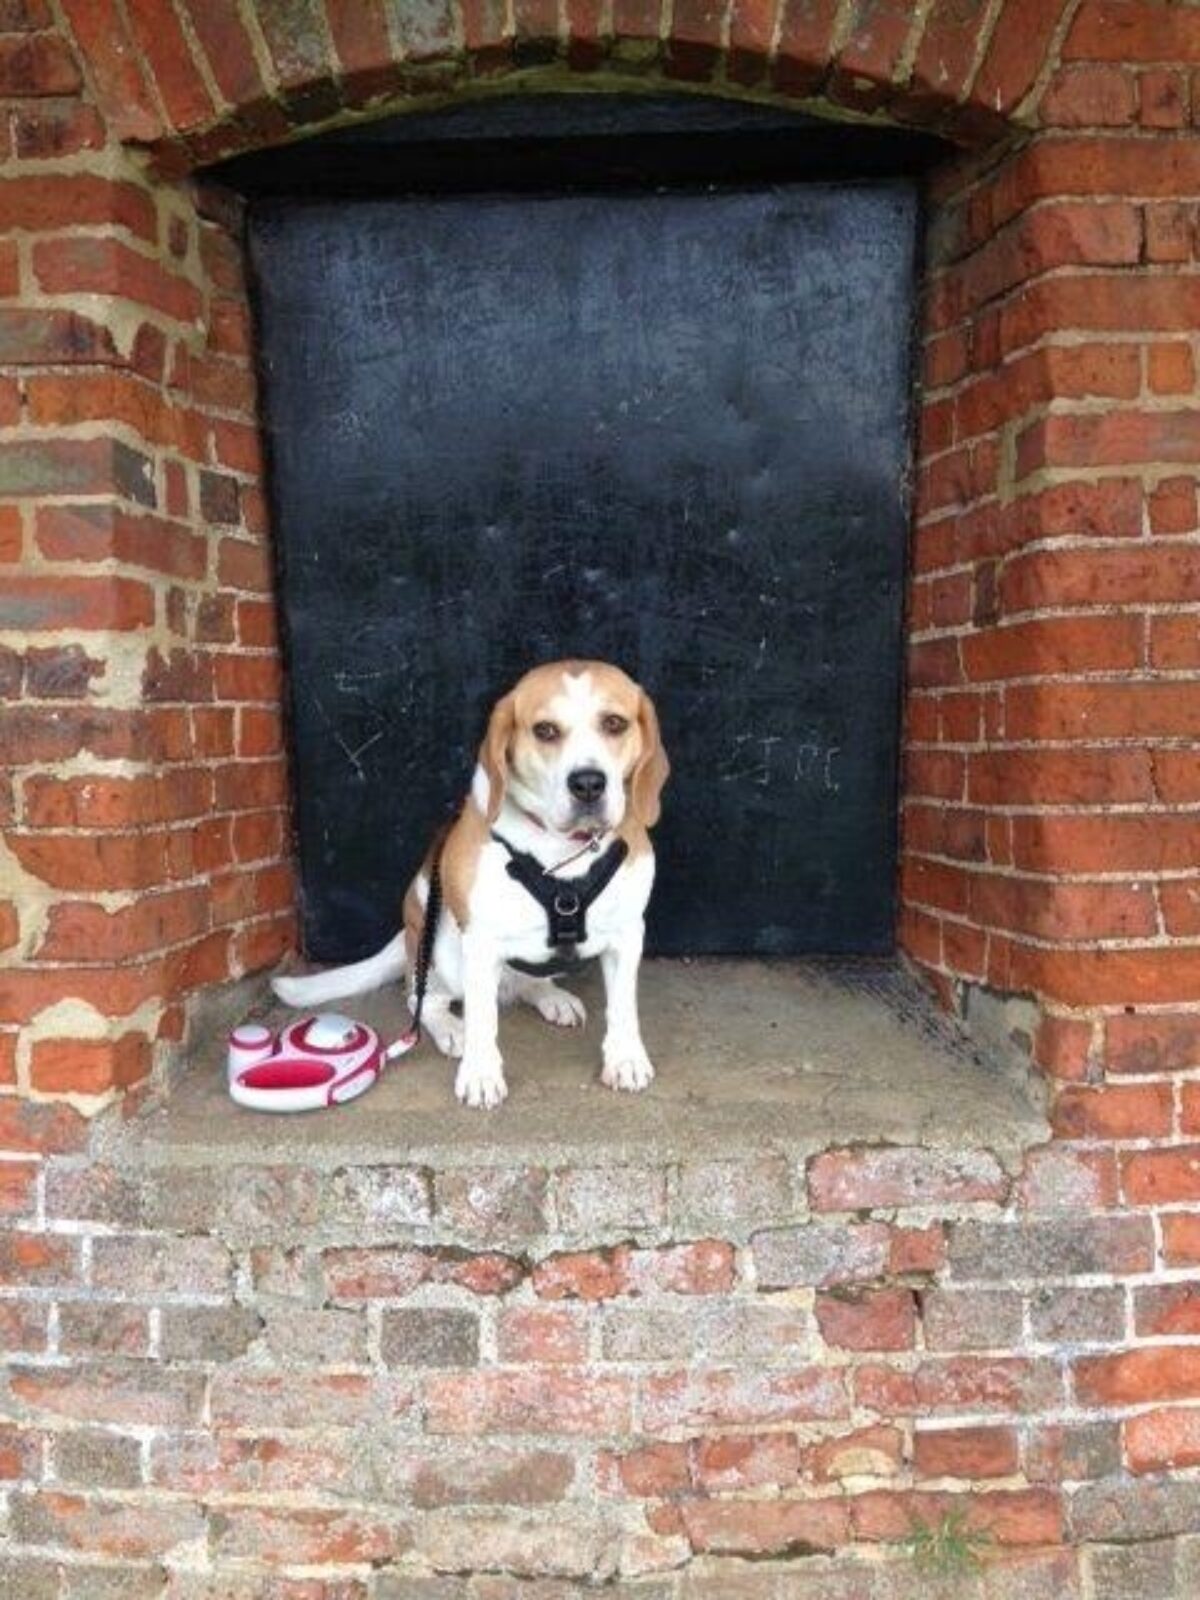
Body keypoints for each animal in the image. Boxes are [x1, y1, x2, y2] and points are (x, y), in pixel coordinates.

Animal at [268, 656, 672, 1107]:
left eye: (614, 723)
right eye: (545, 730)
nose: (588, 783)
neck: (562, 850)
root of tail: (409, 932)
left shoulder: (626, 935)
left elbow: (623, 1008)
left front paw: (625, 1059)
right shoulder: (480, 941)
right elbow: (483, 1018)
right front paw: (480, 1073)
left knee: (524, 982)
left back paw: (550, 996)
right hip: (443, 954)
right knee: (423, 999)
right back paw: (450, 1028)